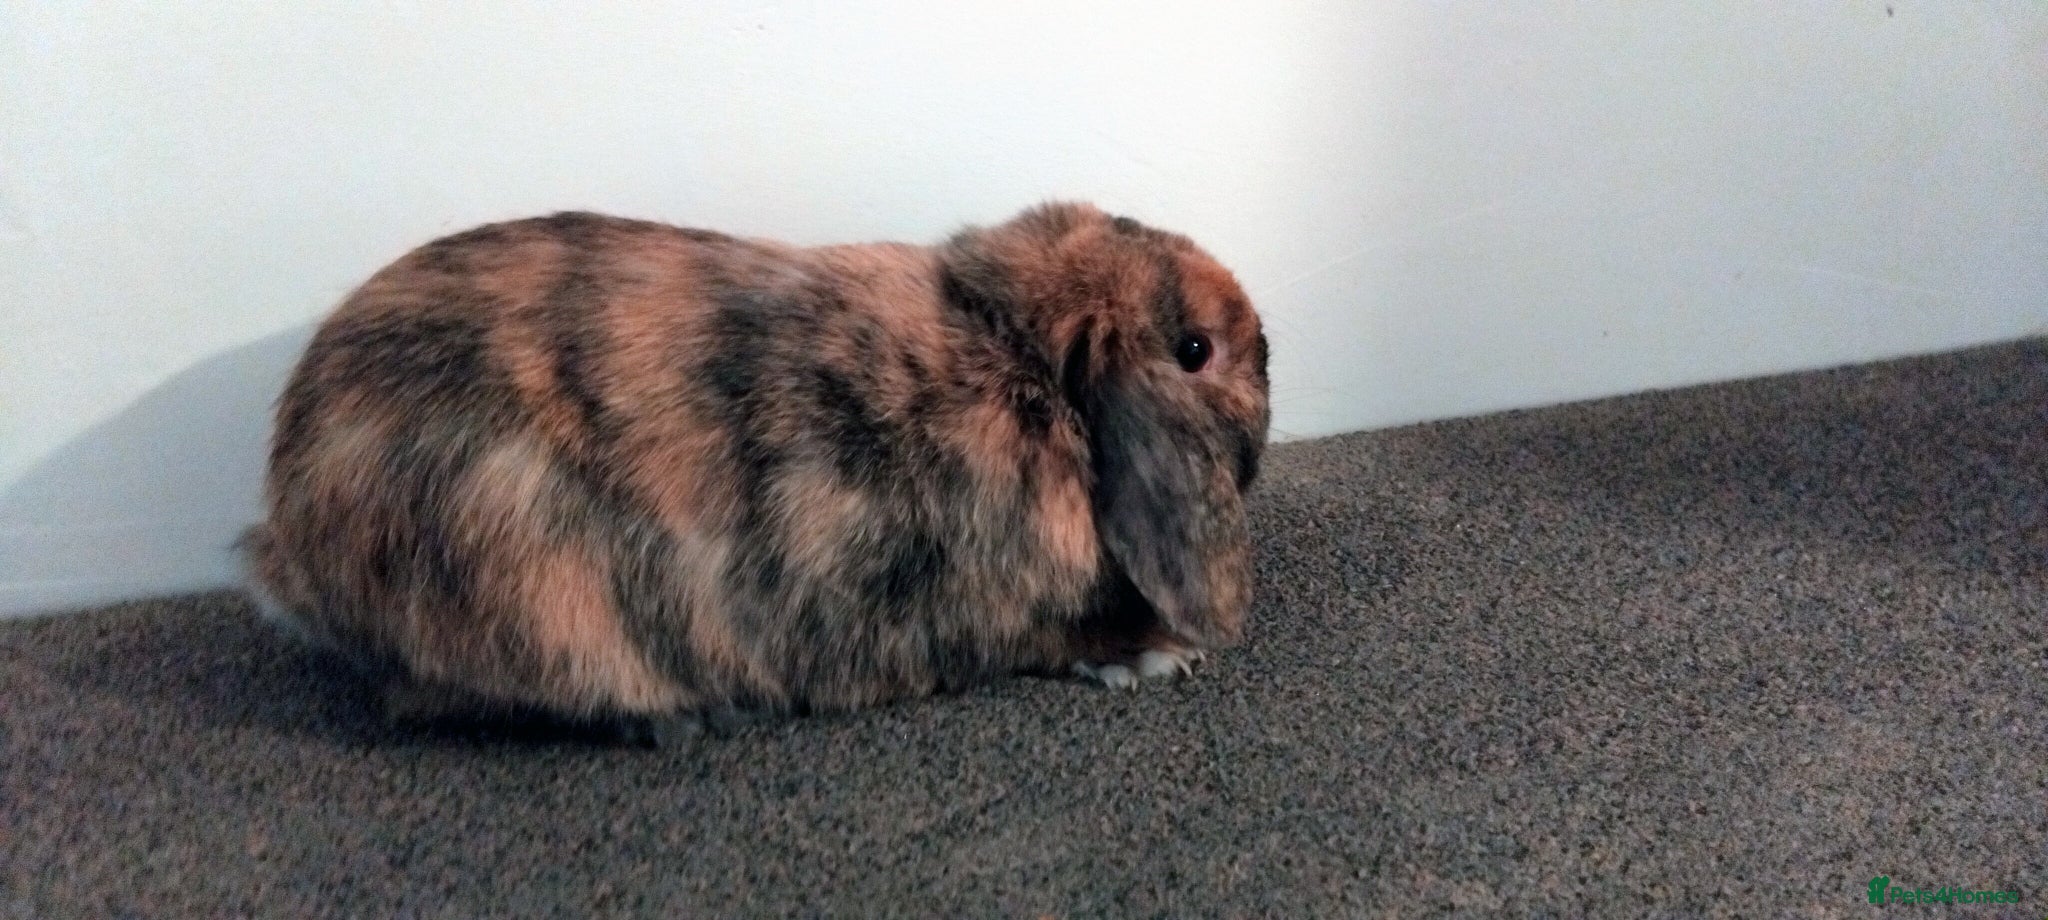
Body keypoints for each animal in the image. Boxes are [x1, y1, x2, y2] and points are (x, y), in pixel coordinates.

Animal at [242, 201, 1271, 743]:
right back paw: (679, 721)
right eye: (1195, 350)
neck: (1019, 362)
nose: (1271, 355)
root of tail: (287, 532)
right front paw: (1153, 655)